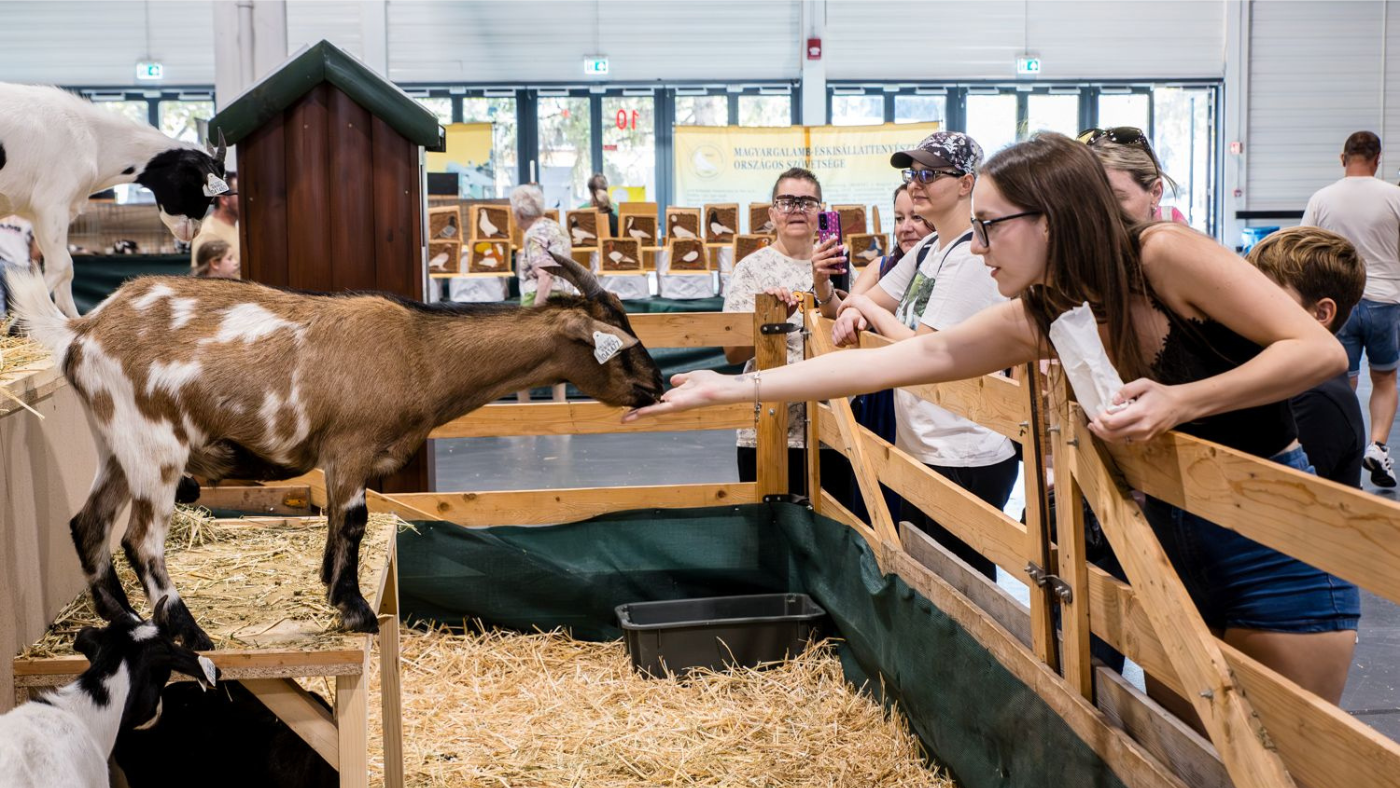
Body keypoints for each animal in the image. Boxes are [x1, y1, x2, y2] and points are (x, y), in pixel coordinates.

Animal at [0, 83, 231, 318]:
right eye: (207, 197)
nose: (194, 233)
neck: (93, 139)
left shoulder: (41, 214)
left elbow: (64, 272)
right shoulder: (52, 205)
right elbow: (60, 266)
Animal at [6, 253, 664, 649]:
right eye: (622, 346)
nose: (658, 387)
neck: (420, 352)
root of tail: (81, 332)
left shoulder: (343, 458)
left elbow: (338, 524)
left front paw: (331, 586)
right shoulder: (350, 446)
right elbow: (353, 519)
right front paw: (354, 610)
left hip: (115, 447)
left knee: (89, 525)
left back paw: (128, 622)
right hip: (154, 444)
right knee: (141, 539)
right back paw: (188, 633)